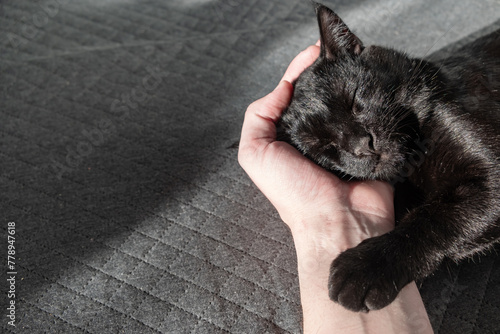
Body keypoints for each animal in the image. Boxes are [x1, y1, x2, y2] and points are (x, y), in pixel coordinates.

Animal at [280, 2, 498, 312]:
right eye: (324, 147)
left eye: (354, 98)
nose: (362, 145)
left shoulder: (490, 174)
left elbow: (434, 218)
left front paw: (364, 269)